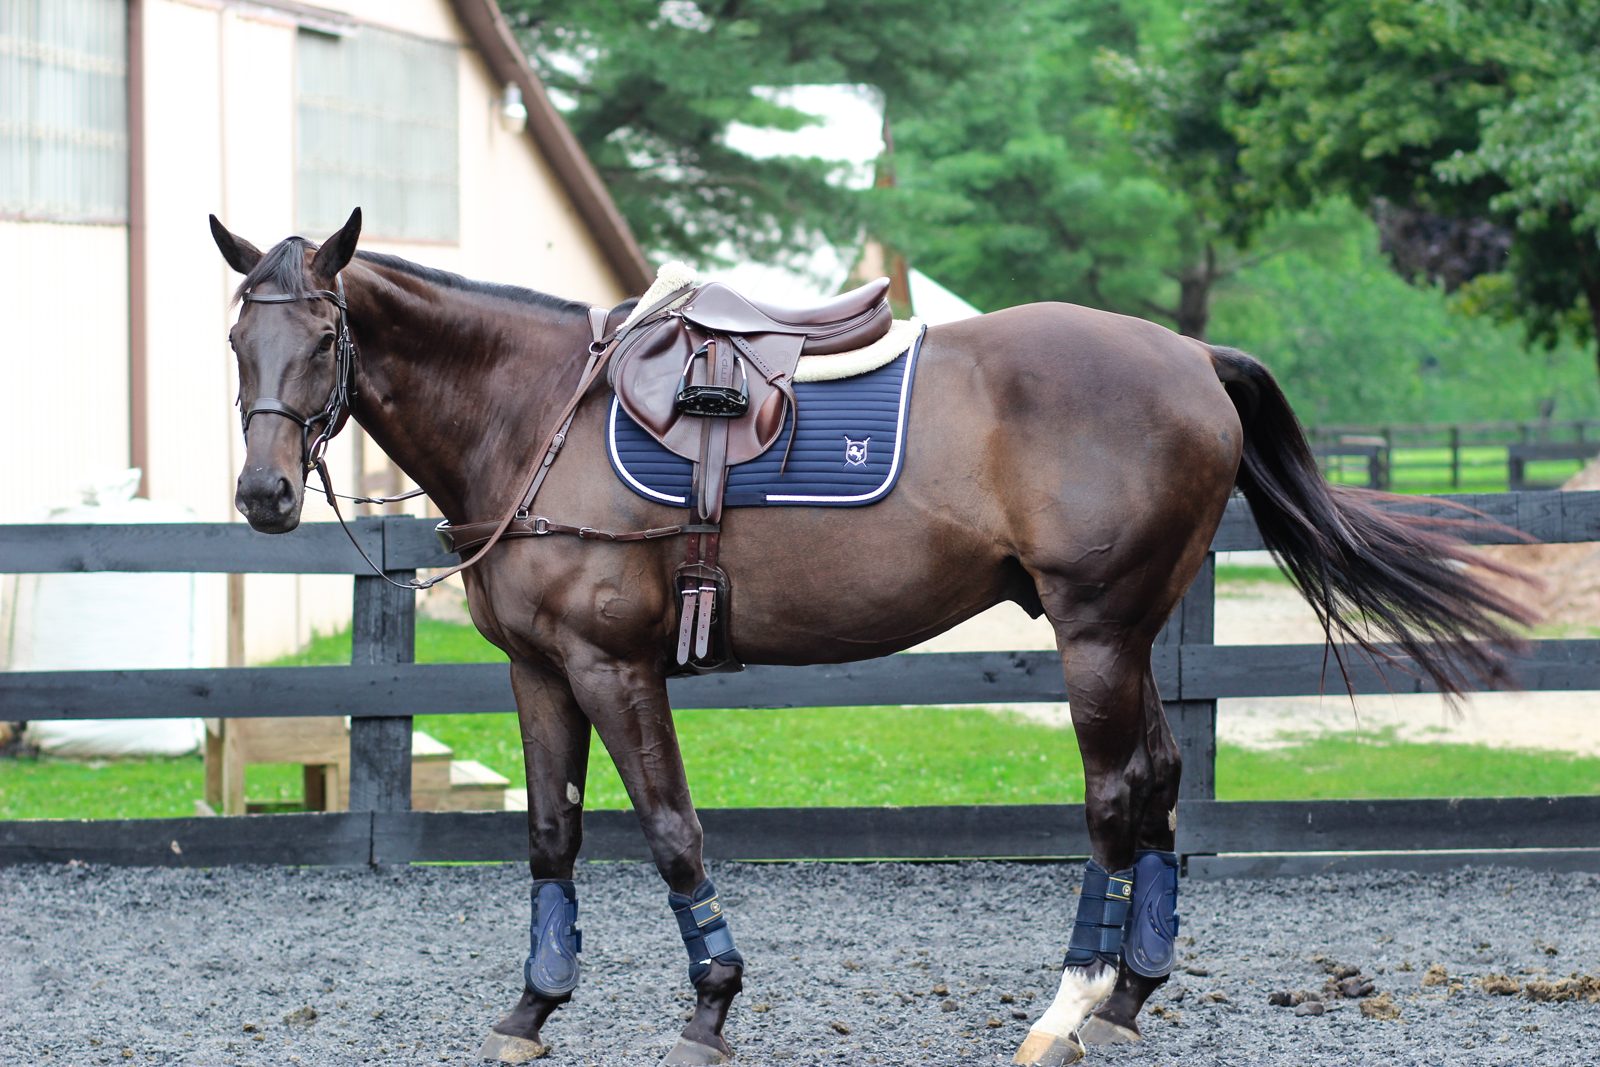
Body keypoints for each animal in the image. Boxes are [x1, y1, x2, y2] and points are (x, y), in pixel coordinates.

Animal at [210, 208, 1532, 1066]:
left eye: (323, 335)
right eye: (236, 341)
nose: (264, 495)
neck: (538, 415)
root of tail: (1191, 354)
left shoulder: (612, 664)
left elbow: (671, 830)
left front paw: (711, 1002)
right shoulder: (538, 672)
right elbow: (550, 835)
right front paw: (531, 1010)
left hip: (1097, 632)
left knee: (1115, 794)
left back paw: (1063, 1010)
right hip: (1131, 628)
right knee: (1157, 780)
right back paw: (1127, 996)